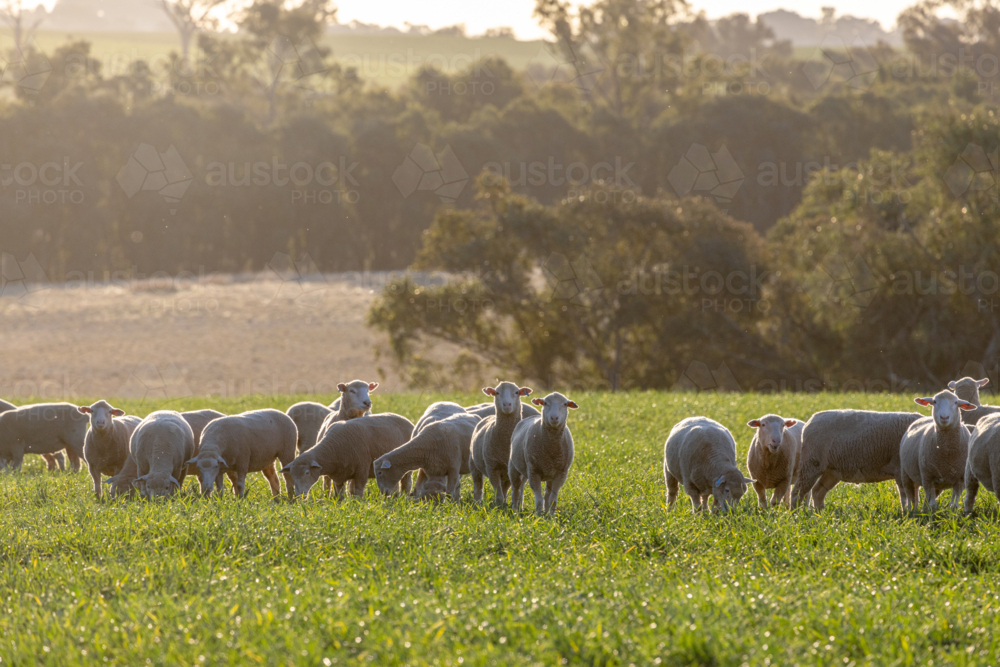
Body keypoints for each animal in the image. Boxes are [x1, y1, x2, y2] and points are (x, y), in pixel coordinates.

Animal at [280, 413, 414, 499]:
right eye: (292, 475)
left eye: (307, 473)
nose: (299, 495)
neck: (333, 449)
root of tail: (407, 420)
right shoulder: (338, 476)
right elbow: (340, 494)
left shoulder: (362, 470)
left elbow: (358, 492)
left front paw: (357, 505)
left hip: (406, 466)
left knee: (406, 483)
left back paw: (404, 497)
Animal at [790, 409, 923, 511]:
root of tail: (811, 420)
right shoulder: (899, 469)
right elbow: (906, 497)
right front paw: (907, 514)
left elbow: (914, 496)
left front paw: (914, 513)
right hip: (812, 463)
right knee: (797, 492)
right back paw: (796, 515)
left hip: (831, 471)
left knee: (818, 491)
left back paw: (820, 513)